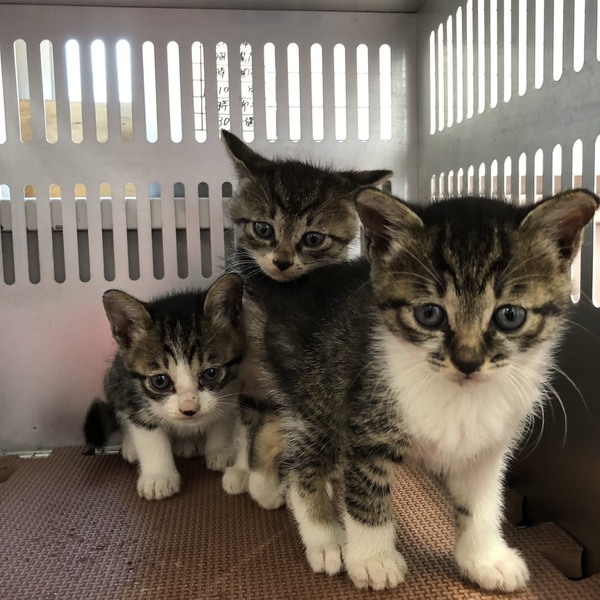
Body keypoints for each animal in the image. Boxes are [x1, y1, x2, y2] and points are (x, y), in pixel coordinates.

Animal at [83, 273, 245, 501]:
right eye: (160, 381)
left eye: (211, 373)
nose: (189, 409)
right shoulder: (135, 394)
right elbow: (147, 432)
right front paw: (158, 477)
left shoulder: (232, 385)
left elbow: (222, 416)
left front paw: (221, 450)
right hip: (114, 375)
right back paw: (131, 446)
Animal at [246, 188, 599, 591]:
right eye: (429, 314)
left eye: (510, 316)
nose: (467, 361)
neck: (459, 394)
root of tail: (291, 284)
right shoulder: (367, 425)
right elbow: (366, 494)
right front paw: (373, 560)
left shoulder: (488, 446)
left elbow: (482, 502)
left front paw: (485, 558)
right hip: (318, 388)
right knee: (302, 461)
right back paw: (320, 534)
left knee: (276, 425)